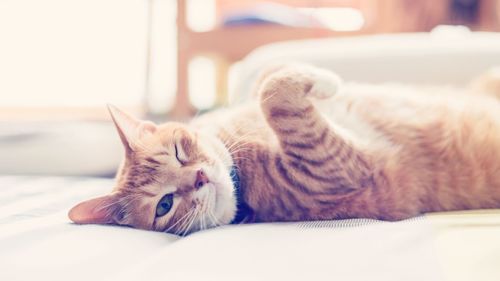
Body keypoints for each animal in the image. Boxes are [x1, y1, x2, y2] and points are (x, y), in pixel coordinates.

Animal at [68, 63, 500, 234]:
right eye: (164, 205)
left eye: (179, 150)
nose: (200, 177)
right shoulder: (340, 168)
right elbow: (272, 93)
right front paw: (325, 82)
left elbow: (267, 76)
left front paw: (320, 80)